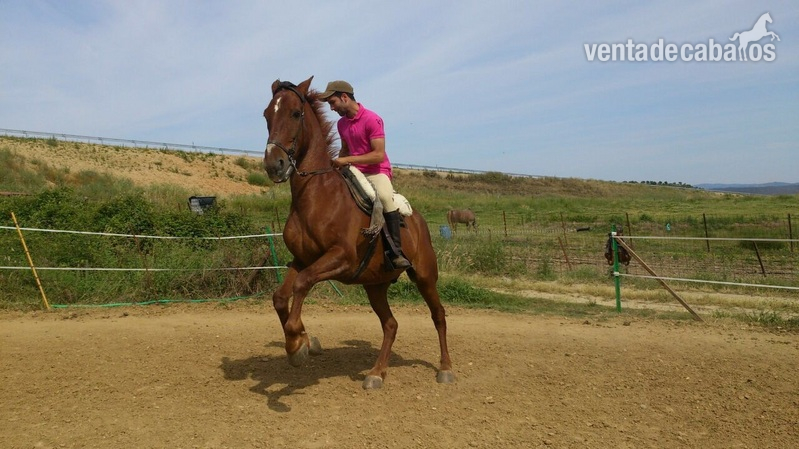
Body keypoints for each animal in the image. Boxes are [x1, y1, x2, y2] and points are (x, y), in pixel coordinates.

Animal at [262, 76, 454, 389]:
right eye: (267, 115)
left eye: (295, 114)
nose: (273, 165)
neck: (316, 194)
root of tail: (418, 220)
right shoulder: (302, 260)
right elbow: (280, 296)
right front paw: (299, 343)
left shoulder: (340, 258)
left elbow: (302, 284)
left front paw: (299, 342)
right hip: (375, 285)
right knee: (390, 324)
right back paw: (376, 373)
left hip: (425, 276)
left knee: (438, 315)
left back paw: (445, 368)